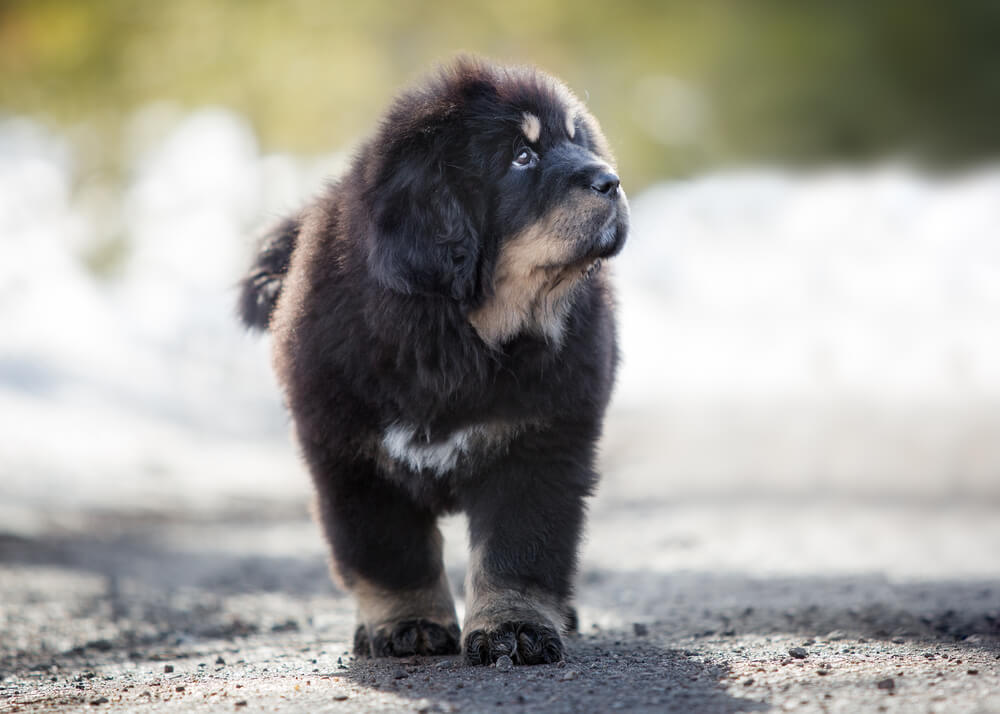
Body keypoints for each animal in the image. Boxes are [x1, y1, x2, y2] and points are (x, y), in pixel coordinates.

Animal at [239, 55, 628, 660]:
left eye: (575, 139)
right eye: (521, 157)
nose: (611, 180)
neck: (454, 336)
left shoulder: (539, 446)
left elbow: (517, 551)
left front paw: (513, 629)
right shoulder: (354, 461)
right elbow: (391, 555)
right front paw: (410, 625)